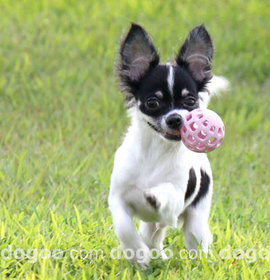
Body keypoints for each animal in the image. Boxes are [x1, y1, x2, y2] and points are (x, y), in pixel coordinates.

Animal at [107, 23, 228, 268]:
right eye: (153, 102)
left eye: (190, 101)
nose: (176, 119)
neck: (155, 151)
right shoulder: (116, 200)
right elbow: (125, 230)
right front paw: (138, 255)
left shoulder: (173, 205)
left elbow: (167, 193)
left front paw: (155, 194)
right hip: (152, 224)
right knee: (150, 236)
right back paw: (156, 256)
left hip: (196, 220)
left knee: (197, 239)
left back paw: (199, 264)